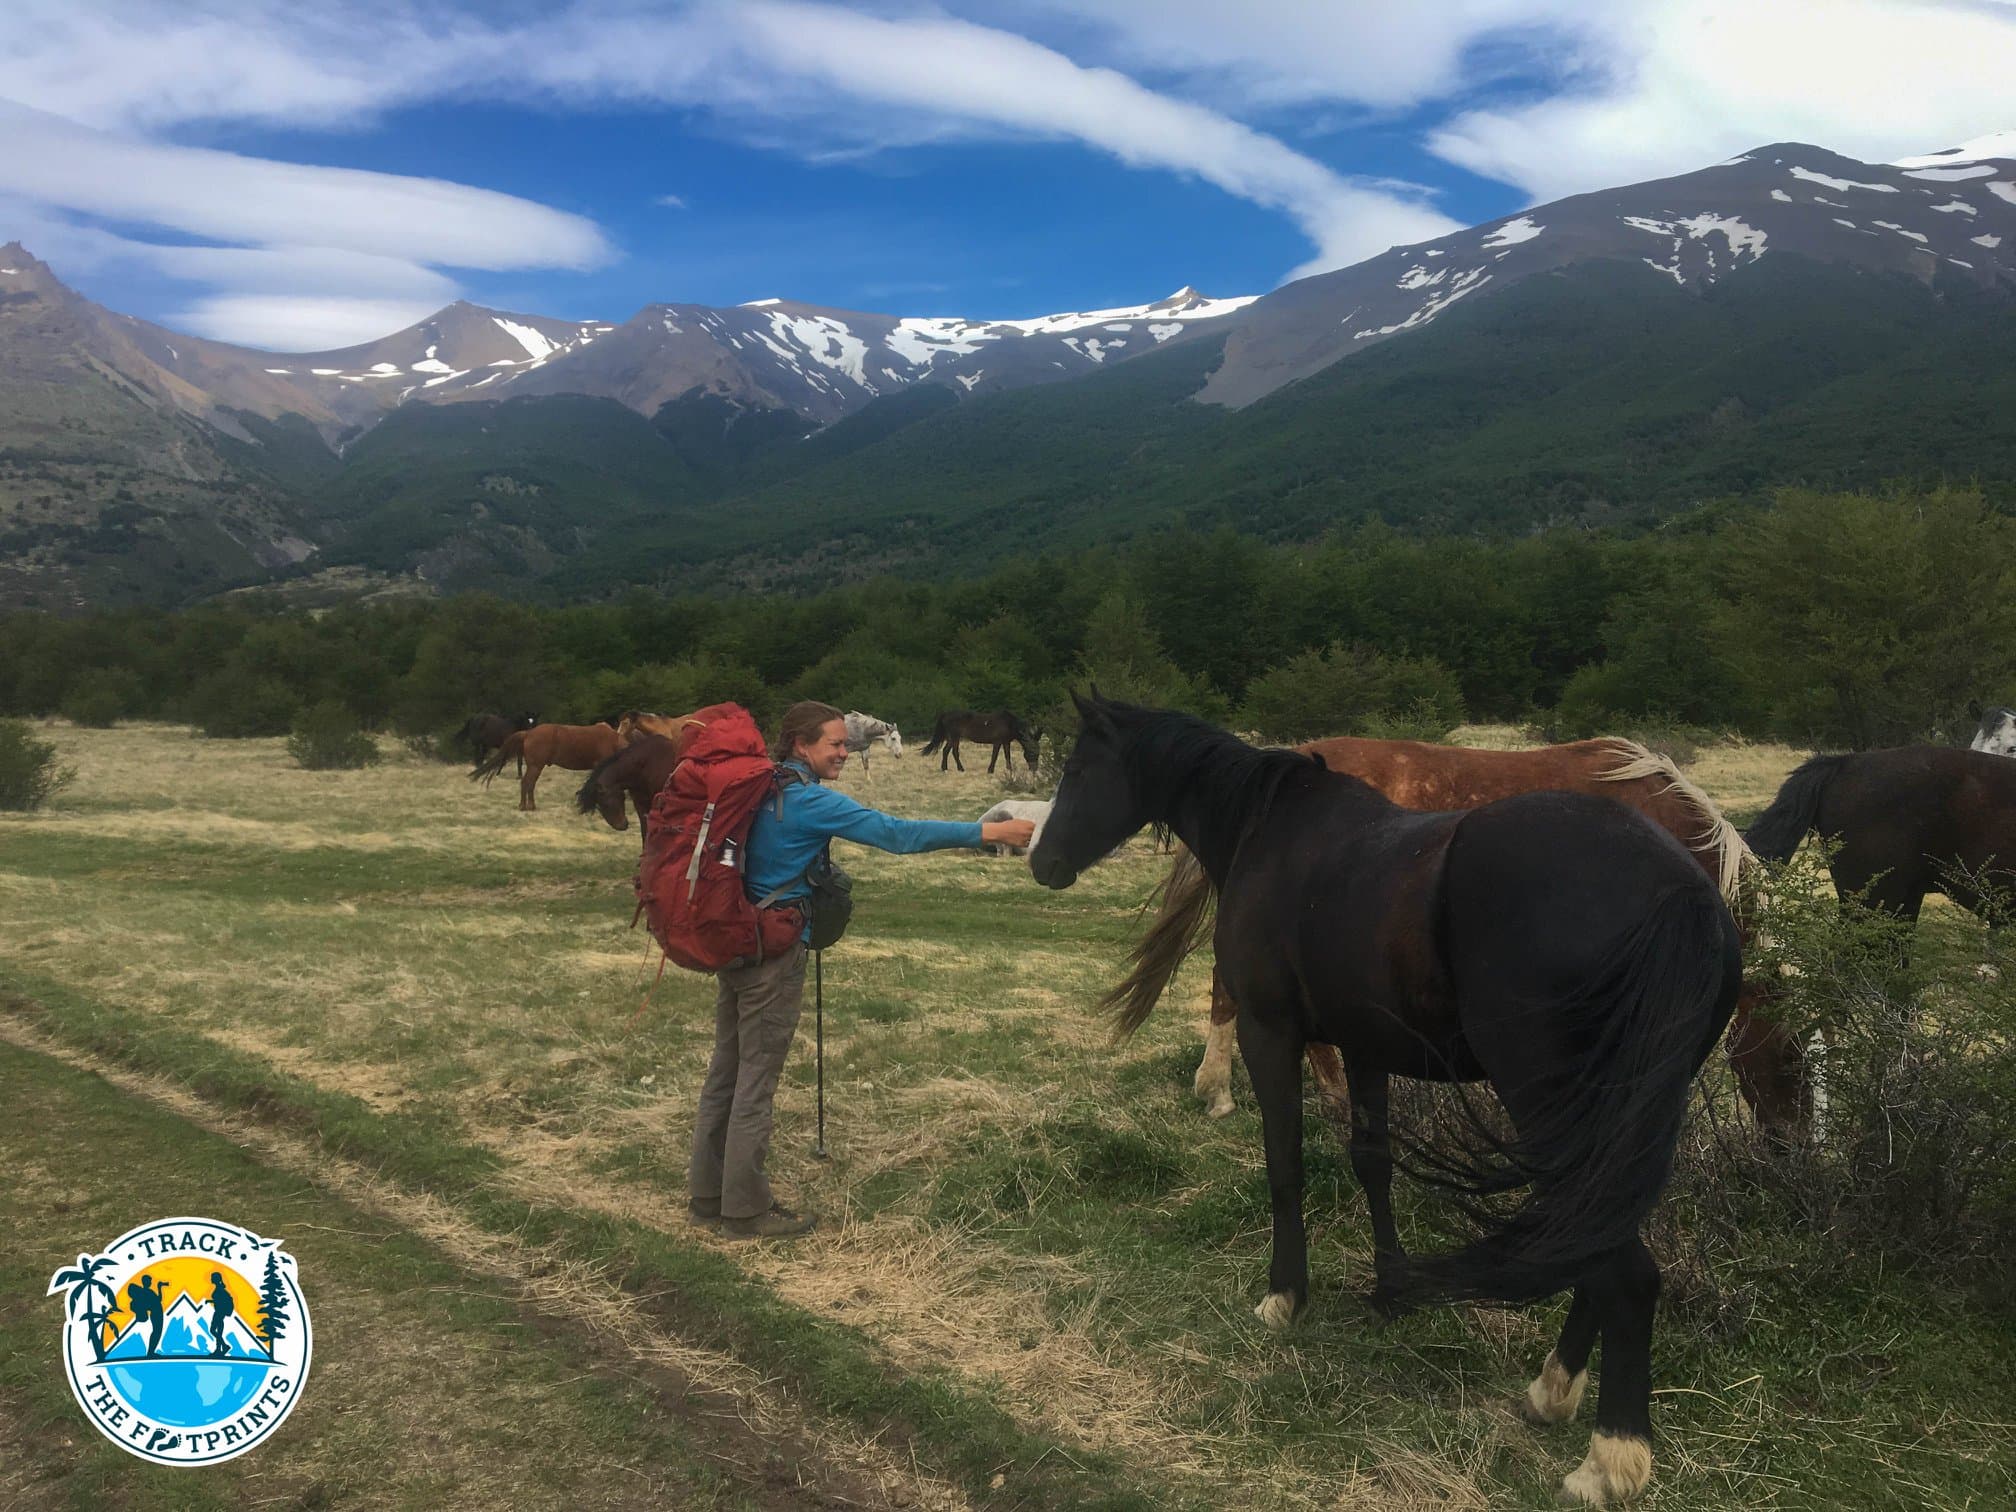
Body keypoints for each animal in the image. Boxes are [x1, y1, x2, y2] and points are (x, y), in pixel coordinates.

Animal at [472, 722, 625, 811]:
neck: (613, 739)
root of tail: (528, 732)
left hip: (535, 767)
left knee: (529, 783)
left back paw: (529, 806)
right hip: (536, 766)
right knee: (527, 782)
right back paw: (525, 806)